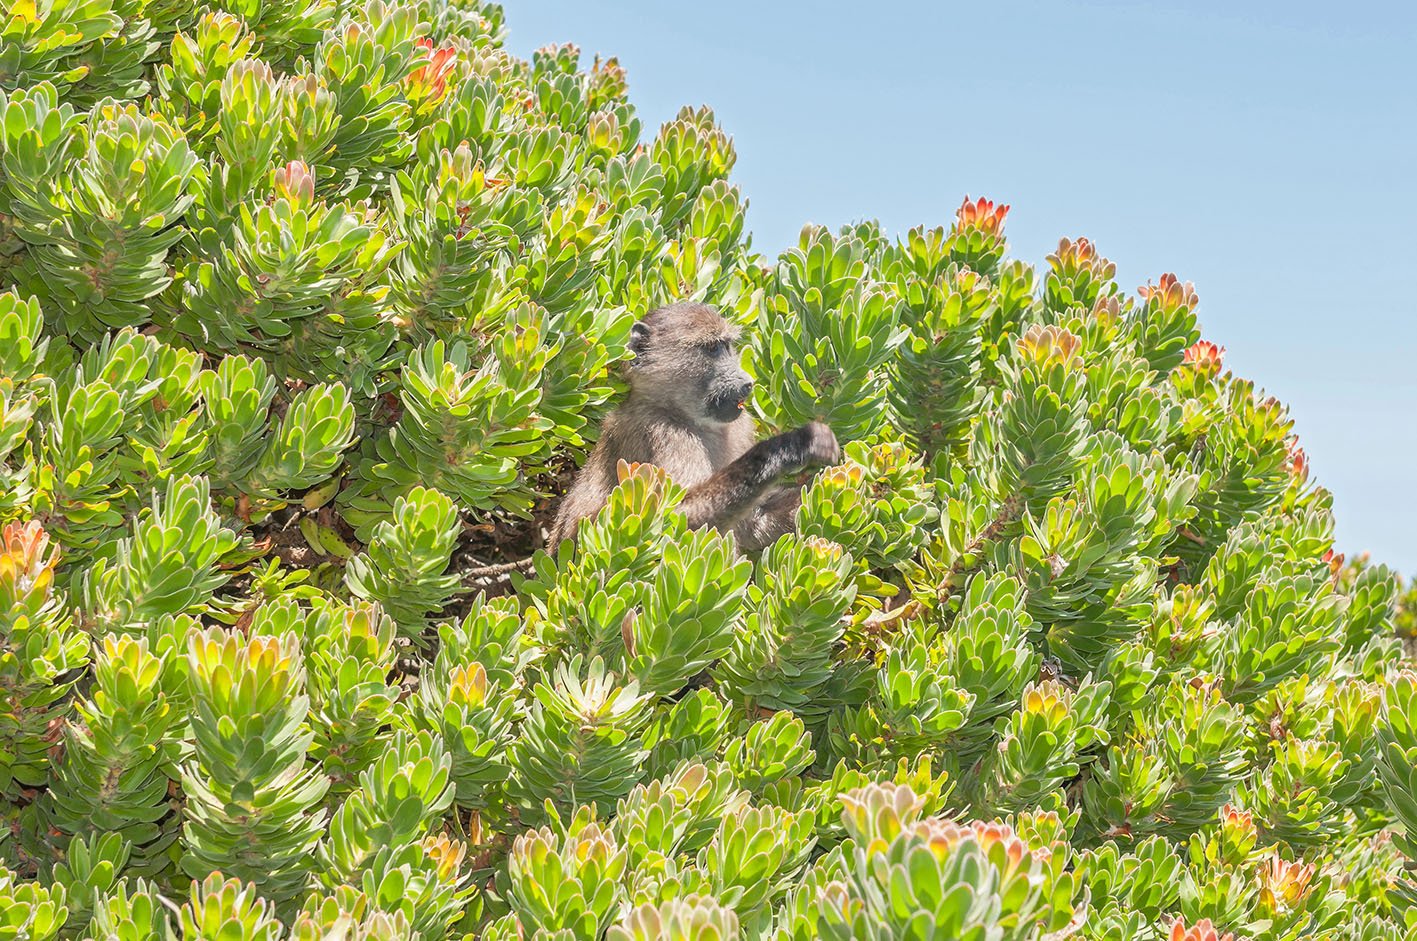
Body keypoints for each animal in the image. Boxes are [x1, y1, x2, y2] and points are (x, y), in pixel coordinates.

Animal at [546, 301, 841, 553]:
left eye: (727, 346)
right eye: (712, 348)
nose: (747, 383)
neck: (682, 413)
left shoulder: (740, 427)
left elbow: (751, 523)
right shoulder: (660, 431)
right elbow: (671, 518)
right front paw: (795, 445)